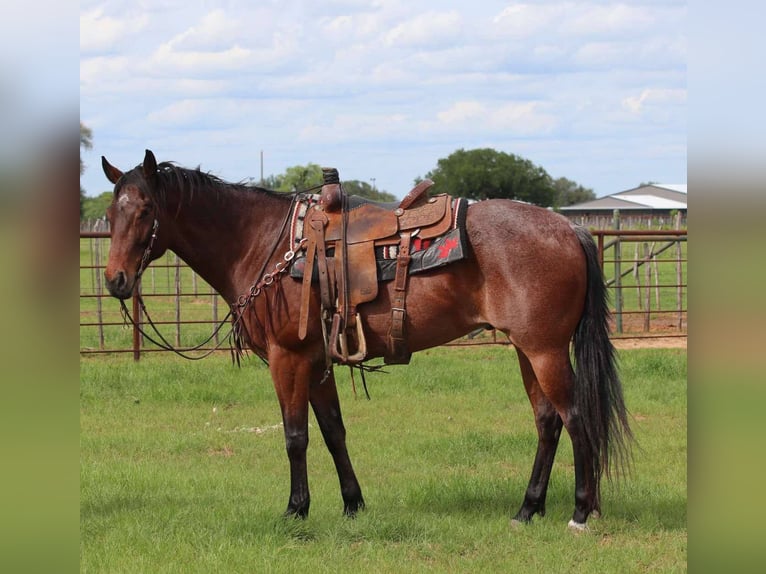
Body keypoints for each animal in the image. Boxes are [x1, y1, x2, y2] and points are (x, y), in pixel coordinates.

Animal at [101, 149, 631, 530]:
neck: (265, 243)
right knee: (547, 421)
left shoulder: (287, 358)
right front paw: (352, 505)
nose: (116, 281)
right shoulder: (316, 361)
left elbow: (295, 436)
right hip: (527, 350)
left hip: (544, 351)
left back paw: (580, 512)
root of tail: (568, 228)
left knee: (575, 418)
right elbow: (333, 431)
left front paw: (296, 510)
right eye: (110, 213)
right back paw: (527, 510)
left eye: (145, 210)